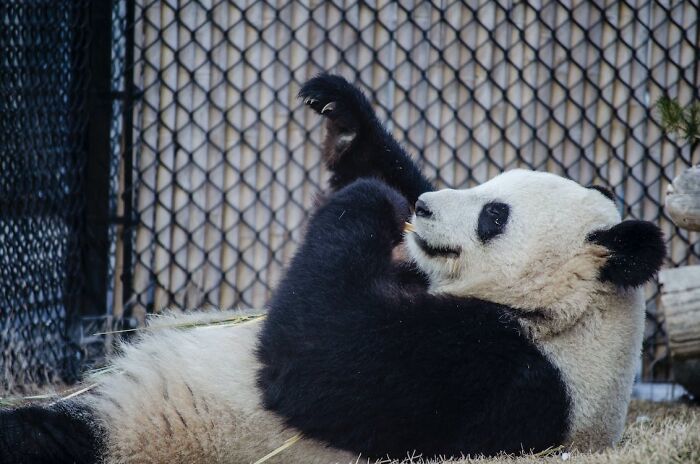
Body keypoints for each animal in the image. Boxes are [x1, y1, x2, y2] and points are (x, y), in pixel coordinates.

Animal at [0, 74, 665, 464]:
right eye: (488, 184)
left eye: (493, 216)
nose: (425, 209)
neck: (570, 313)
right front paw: (344, 116)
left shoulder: (499, 373)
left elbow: (320, 359)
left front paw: (372, 200)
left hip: (141, 433)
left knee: (41, 442)